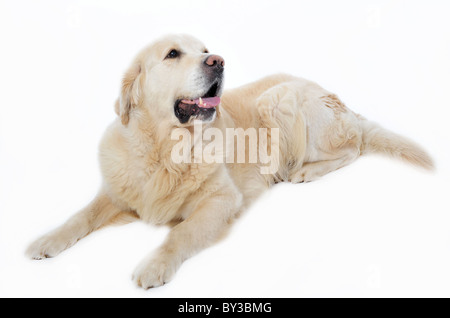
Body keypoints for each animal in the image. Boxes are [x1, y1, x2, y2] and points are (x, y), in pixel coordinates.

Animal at [26, 34, 434, 288]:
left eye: (205, 48)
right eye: (172, 53)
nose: (218, 60)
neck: (164, 149)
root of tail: (340, 100)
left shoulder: (222, 200)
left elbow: (180, 233)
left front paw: (155, 264)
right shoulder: (118, 193)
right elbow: (80, 216)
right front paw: (46, 240)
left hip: (279, 100)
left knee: (353, 146)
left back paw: (304, 171)